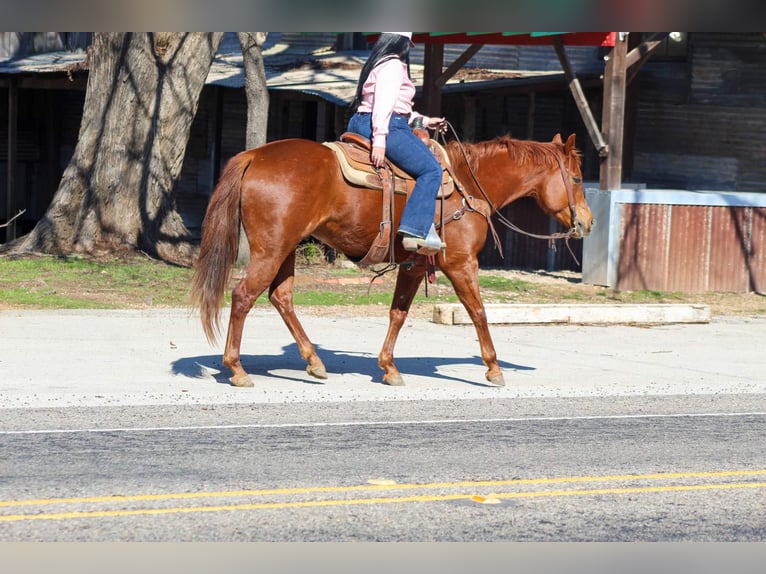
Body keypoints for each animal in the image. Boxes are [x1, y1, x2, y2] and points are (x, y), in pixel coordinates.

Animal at [190, 133, 592, 390]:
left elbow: (398, 313)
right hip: (270, 250)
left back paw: (314, 362)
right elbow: (478, 312)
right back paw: (237, 369)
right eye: (576, 178)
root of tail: (255, 156)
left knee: (281, 297)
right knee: (243, 296)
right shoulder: (461, 263)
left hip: (285, 249)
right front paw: (493, 368)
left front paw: (389, 367)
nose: (587, 222)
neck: (468, 184)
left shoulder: (415, 265)